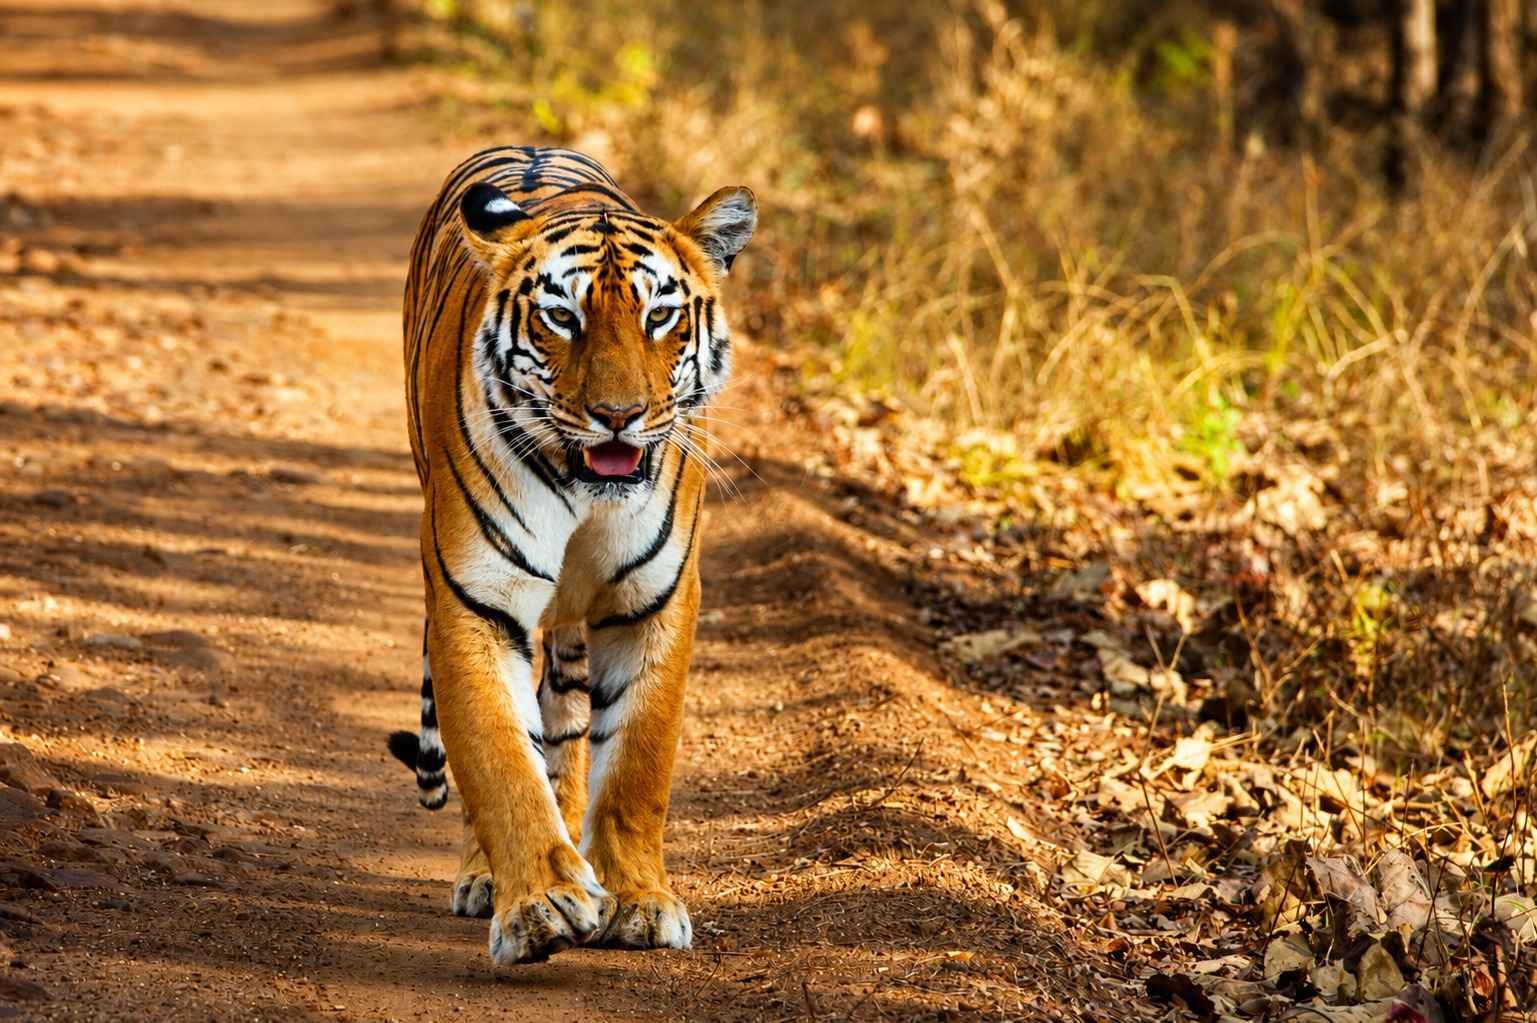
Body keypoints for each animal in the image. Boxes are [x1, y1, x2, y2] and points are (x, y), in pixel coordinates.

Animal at [384, 146, 755, 965]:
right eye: (563, 317)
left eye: (659, 316)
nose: (618, 416)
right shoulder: (476, 600)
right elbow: (499, 759)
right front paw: (540, 903)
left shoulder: (653, 602)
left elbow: (635, 764)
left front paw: (638, 899)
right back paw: (485, 877)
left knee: (570, 731)